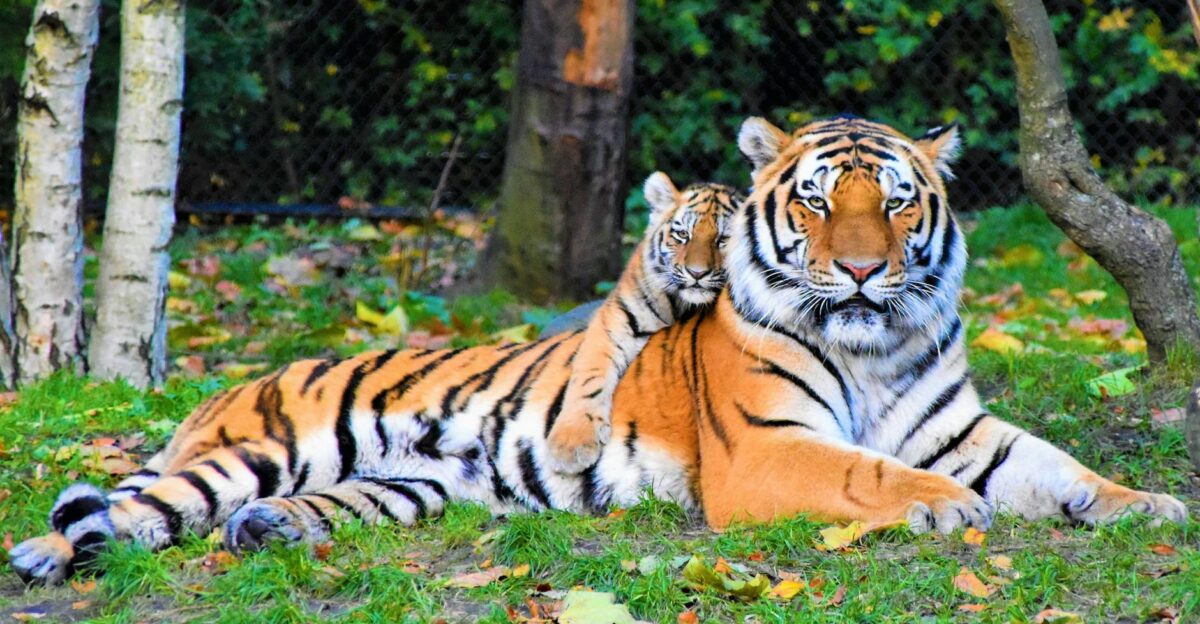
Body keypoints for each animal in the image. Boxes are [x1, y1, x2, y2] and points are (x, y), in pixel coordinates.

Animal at [544, 172, 739, 473]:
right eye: (683, 235)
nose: (697, 273)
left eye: (723, 239)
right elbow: (589, 375)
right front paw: (570, 445)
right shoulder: (616, 319)